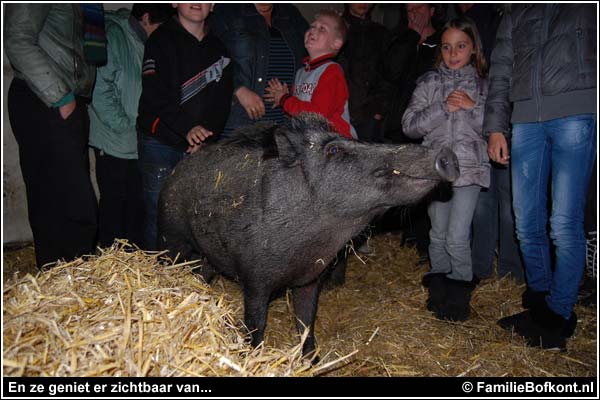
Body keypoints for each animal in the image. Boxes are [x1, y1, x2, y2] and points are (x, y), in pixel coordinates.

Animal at [156, 111, 460, 360]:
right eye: (334, 149)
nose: (448, 155)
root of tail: (173, 173)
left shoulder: (311, 278)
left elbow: (306, 321)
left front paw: (311, 360)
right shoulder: (255, 278)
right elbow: (256, 323)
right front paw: (251, 355)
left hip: (208, 254)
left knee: (203, 272)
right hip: (172, 237)